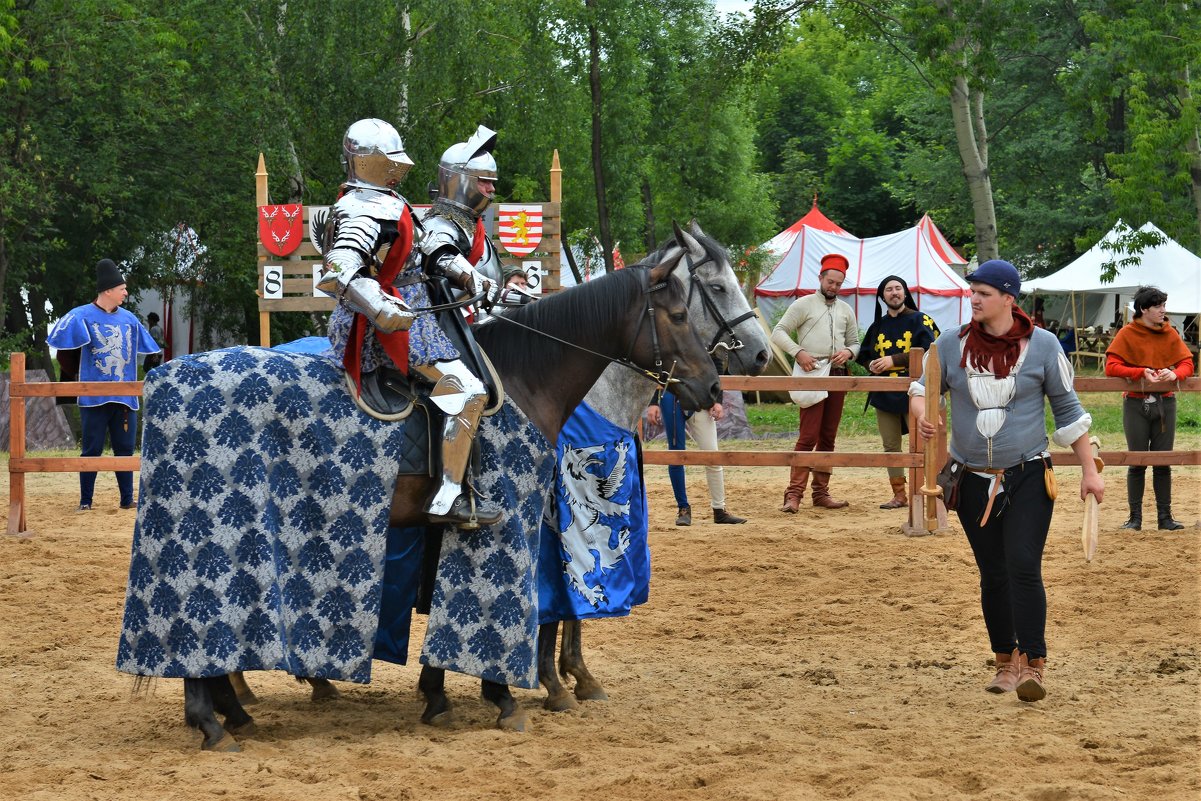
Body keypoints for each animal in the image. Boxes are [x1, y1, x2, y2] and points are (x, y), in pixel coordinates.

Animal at [121, 252, 720, 754]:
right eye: (680, 315)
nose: (713, 388)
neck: (525, 378)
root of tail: (165, 375)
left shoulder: (444, 528)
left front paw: (438, 697)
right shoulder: (512, 528)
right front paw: (506, 698)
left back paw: (231, 714)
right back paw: (212, 723)